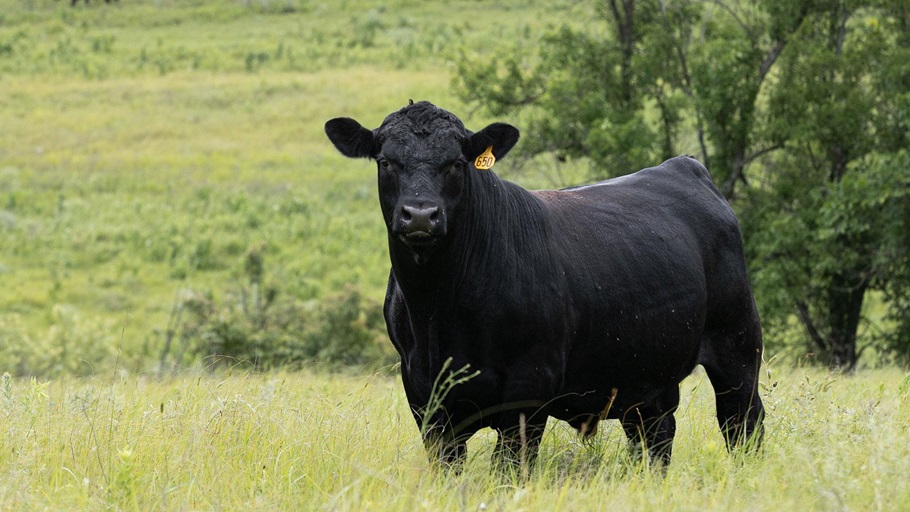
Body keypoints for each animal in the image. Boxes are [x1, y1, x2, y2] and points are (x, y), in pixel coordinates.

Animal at [324, 101, 764, 472]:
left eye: (456, 163)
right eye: (385, 161)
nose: (419, 215)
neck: (438, 311)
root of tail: (683, 166)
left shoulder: (529, 387)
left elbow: (510, 468)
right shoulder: (423, 394)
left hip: (737, 345)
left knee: (742, 424)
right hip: (646, 377)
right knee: (656, 437)